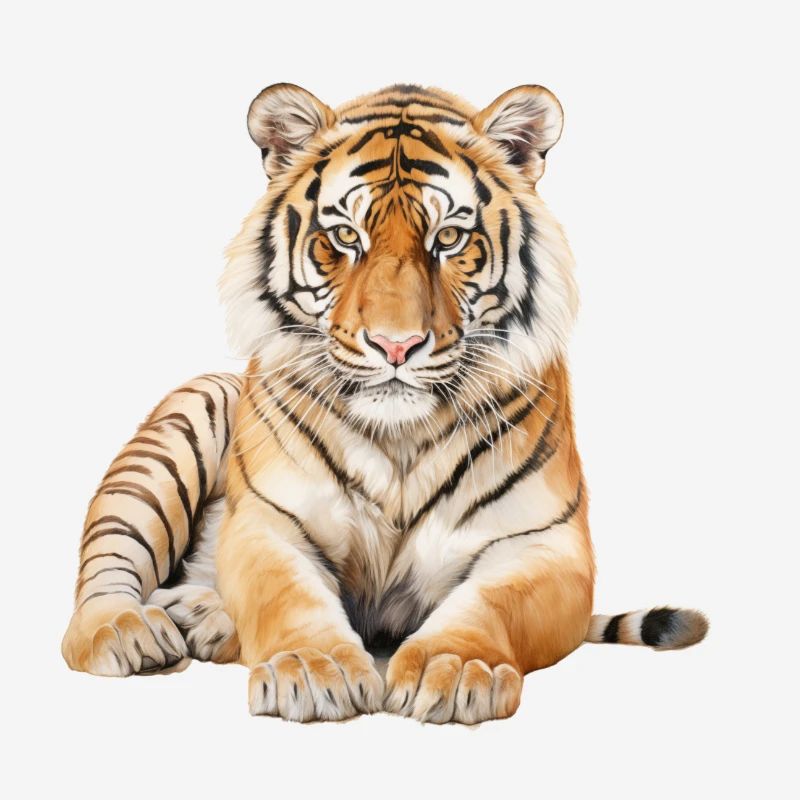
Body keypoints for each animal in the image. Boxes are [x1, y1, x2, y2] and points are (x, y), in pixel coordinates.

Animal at [61, 83, 708, 724]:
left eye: (448, 238)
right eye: (347, 237)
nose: (396, 345)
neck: (399, 440)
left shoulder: (546, 544)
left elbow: (491, 603)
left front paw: (452, 670)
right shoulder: (267, 524)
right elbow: (287, 595)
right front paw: (313, 671)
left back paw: (202, 620)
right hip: (180, 429)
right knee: (106, 567)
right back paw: (132, 632)